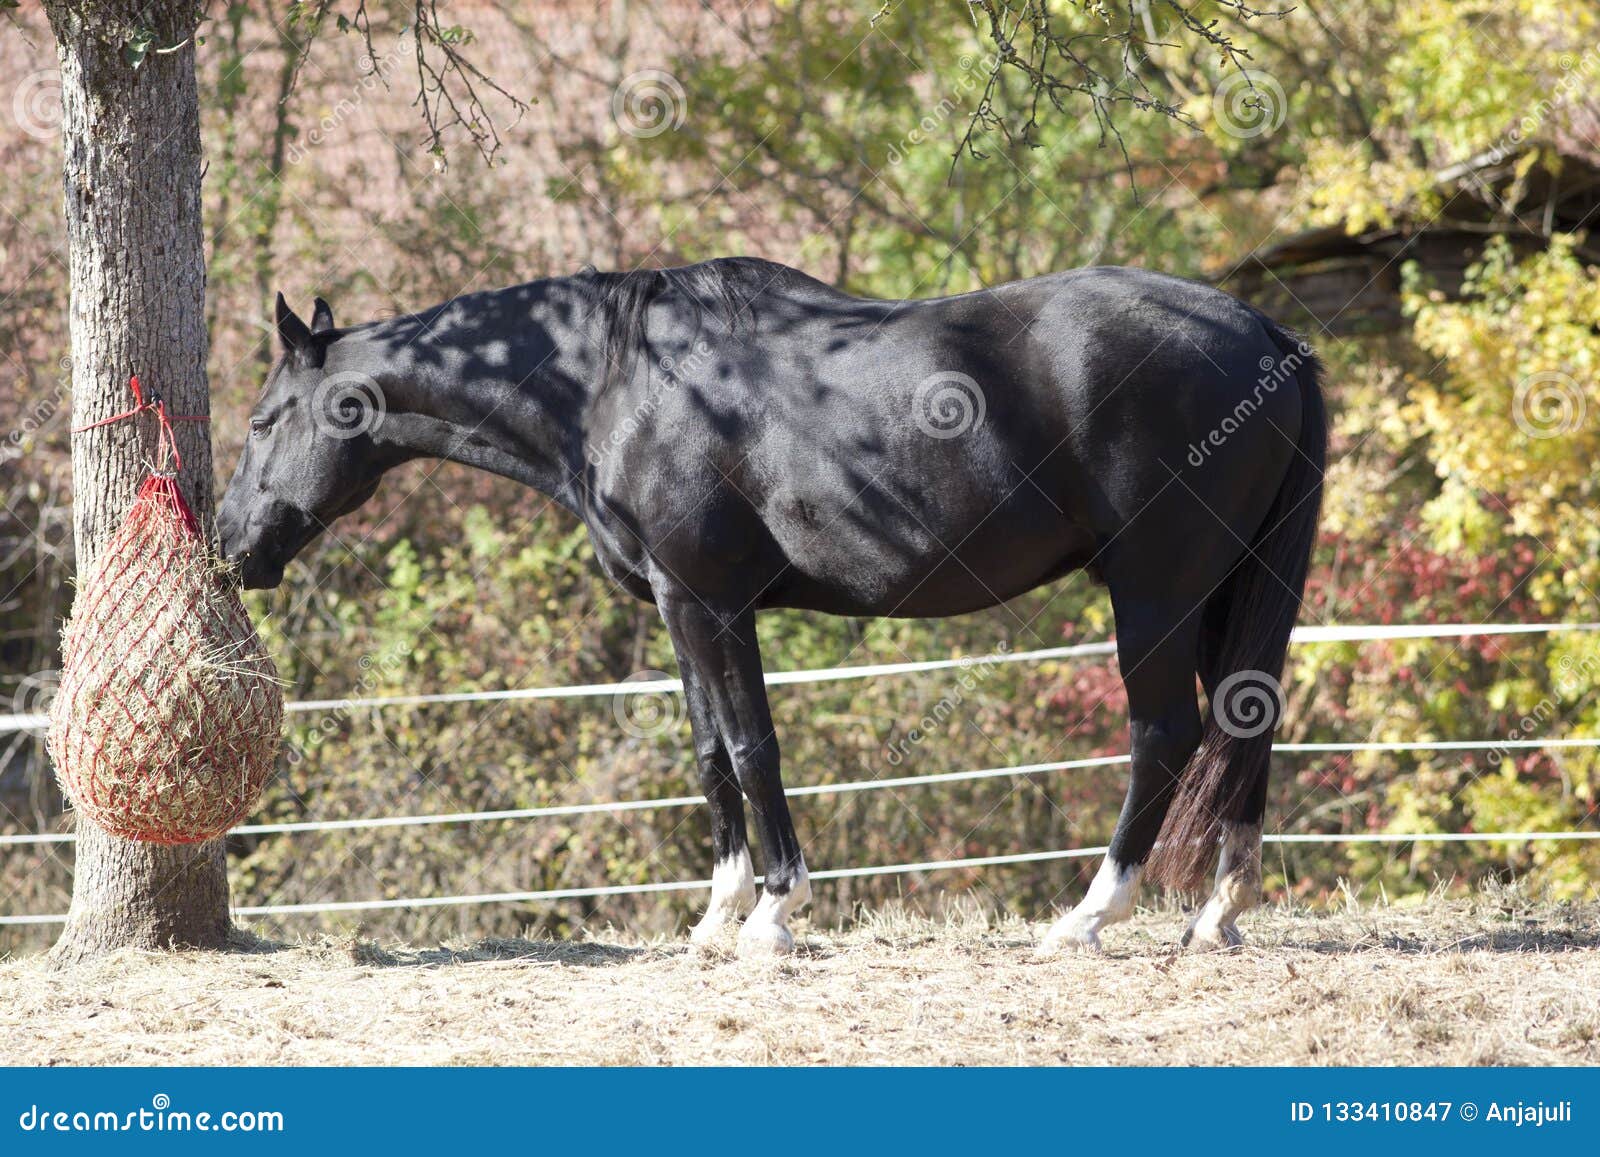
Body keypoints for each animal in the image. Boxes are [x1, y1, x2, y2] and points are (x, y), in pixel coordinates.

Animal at [219, 257, 1331, 953]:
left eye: (266, 418)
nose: (229, 545)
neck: (622, 383)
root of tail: (1266, 335)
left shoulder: (709, 599)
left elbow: (753, 746)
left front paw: (773, 912)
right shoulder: (680, 604)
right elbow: (711, 749)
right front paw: (717, 913)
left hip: (1156, 590)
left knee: (1165, 732)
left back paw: (1089, 915)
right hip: (1227, 589)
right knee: (1246, 720)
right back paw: (1218, 912)